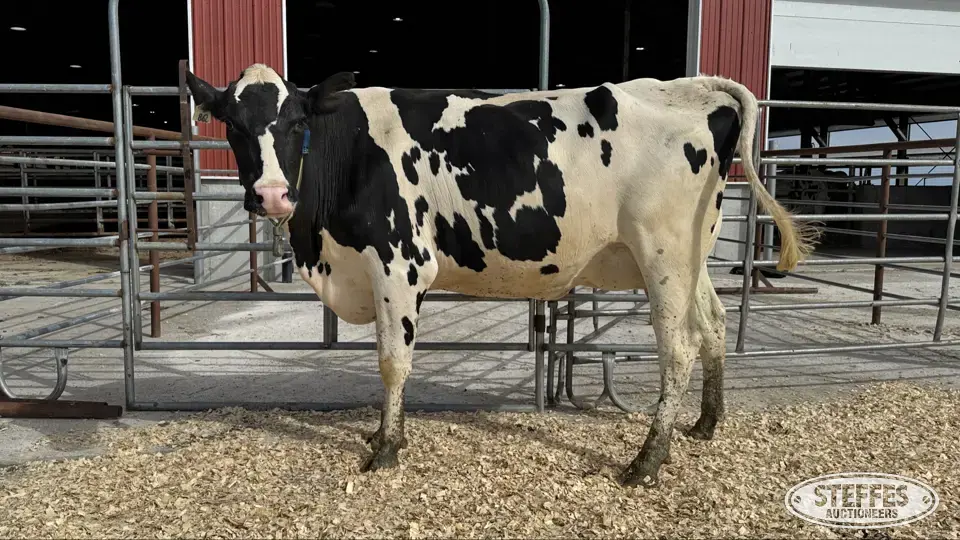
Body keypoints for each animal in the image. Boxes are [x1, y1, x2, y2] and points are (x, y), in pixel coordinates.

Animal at [185, 63, 817, 487]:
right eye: (233, 125)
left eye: (294, 122)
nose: (271, 194)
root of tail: (690, 86)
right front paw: (380, 436)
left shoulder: (398, 264)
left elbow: (393, 362)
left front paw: (386, 448)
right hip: (692, 258)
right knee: (713, 326)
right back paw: (705, 425)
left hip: (662, 254)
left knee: (678, 349)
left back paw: (646, 461)